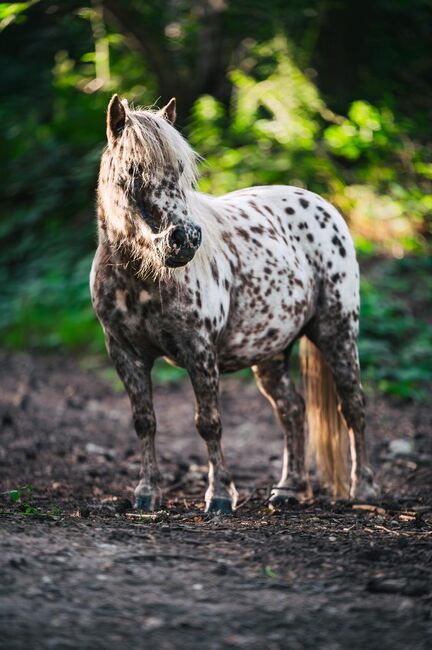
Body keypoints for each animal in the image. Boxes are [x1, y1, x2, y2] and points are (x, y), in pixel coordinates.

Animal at [91, 95, 378, 512]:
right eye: (132, 170)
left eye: (181, 169)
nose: (185, 239)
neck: (141, 280)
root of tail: (322, 205)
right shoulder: (125, 353)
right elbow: (144, 421)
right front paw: (147, 492)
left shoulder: (199, 351)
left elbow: (209, 422)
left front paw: (221, 495)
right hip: (271, 352)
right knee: (292, 410)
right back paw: (289, 487)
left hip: (337, 332)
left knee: (352, 405)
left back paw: (364, 488)